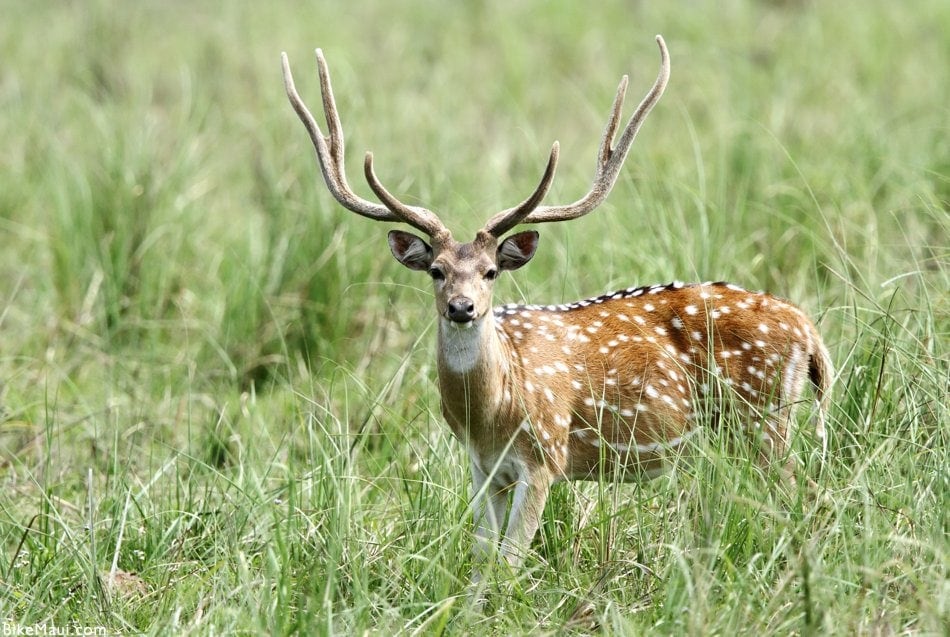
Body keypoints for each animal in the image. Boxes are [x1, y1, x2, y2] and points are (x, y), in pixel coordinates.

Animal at [280, 36, 832, 580]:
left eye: (491, 272)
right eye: (436, 269)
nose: (461, 307)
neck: (491, 410)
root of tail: (808, 329)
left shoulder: (545, 454)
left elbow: (509, 564)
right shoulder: (483, 468)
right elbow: (481, 563)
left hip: (763, 418)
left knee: (803, 494)